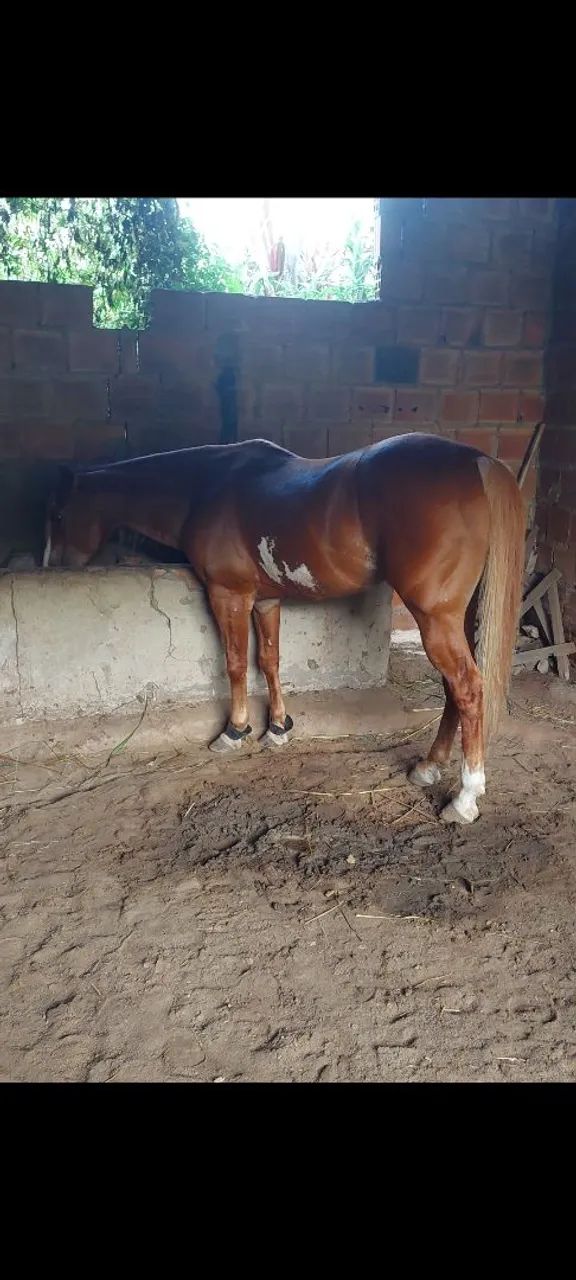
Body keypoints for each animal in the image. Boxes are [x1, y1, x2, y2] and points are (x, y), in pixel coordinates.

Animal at [43, 432, 526, 825]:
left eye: (59, 515)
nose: (51, 568)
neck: (206, 489)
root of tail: (477, 462)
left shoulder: (228, 595)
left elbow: (236, 664)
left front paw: (234, 732)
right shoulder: (266, 600)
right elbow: (269, 661)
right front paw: (277, 728)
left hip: (434, 618)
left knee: (467, 688)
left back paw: (464, 799)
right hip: (453, 617)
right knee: (453, 691)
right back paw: (428, 767)